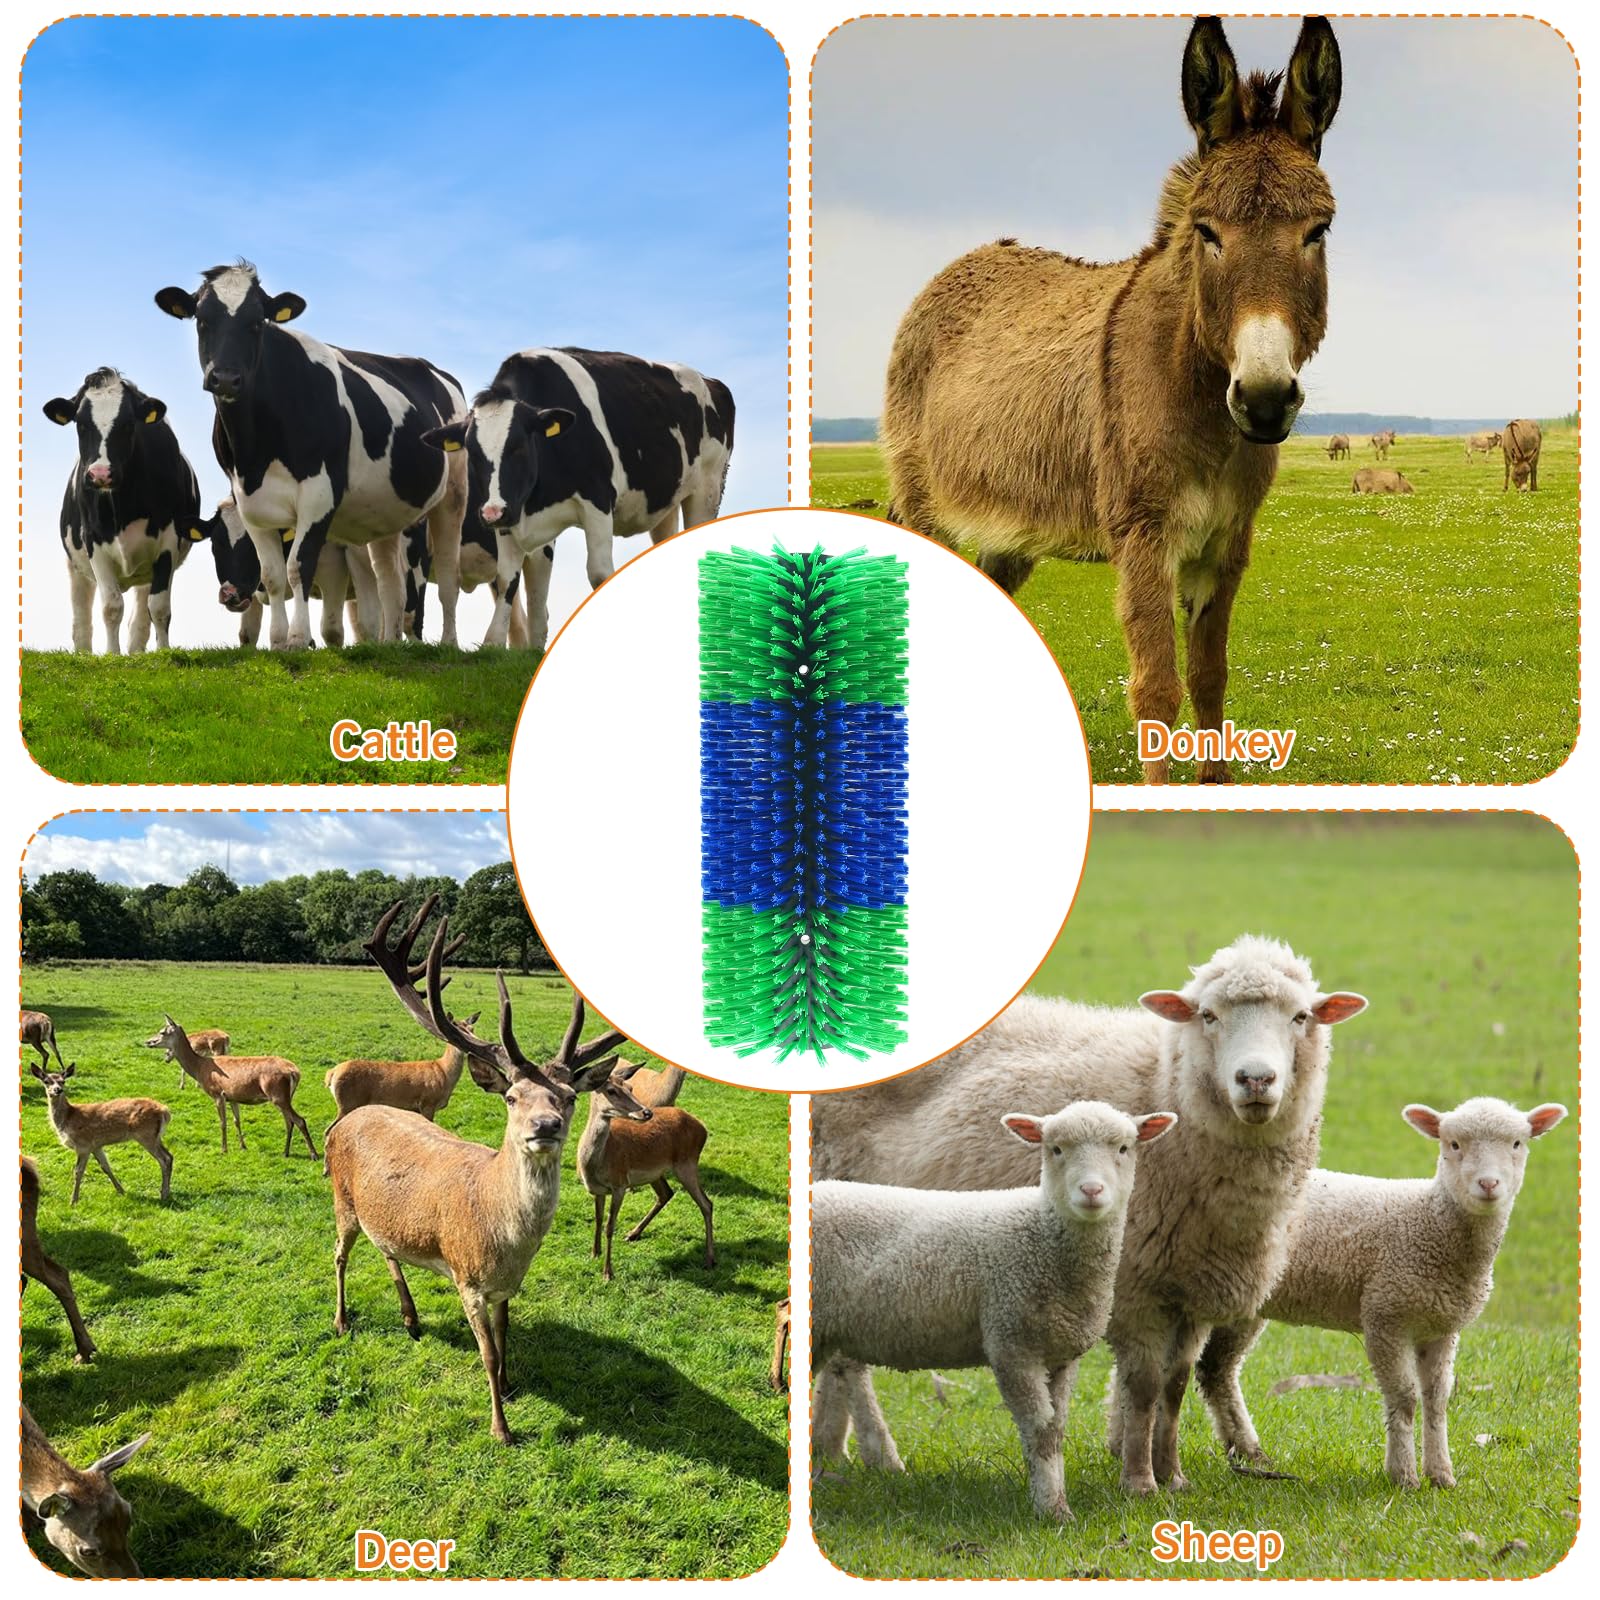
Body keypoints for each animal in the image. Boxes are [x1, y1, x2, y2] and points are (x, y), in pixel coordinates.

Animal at [43, 369, 202, 654]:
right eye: (80, 424)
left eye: (128, 424)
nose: (100, 474)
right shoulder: (93, 541)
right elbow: (111, 606)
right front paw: (112, 655)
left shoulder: (168, 541)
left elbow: (159, 608)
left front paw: (164, 652)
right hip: (76, 566)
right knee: (81, 618)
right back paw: (83, 653)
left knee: (141, 616)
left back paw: (137, 652)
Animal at [153, 262, 467, 650]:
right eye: (202, 319)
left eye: (257, 322)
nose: (225, 378)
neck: (257, 450)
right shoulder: (248, 501)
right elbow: (273, 575)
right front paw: (277, 641)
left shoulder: (320, 494)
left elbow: (298, 566)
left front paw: (298, 639)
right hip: (387, 511)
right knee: (389, 579)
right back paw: (389, 643)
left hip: (453, 495)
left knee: (448, 574)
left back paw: (449, 642)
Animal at [422, 347, 734, 649]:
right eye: (472, 453)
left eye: (519, 447)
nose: (491, 513)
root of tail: (710, 381)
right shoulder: (511, 513)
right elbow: (511, 579)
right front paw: (501, 644)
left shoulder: (597, 500)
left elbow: (599, 573)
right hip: (665, 503)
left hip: (707, 488)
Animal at [812, 1101, 1178, 1521]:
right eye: (1055, 1149)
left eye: (1123, 1148)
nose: (1091, 1191)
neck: (1042, 1234)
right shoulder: (1011, 1342)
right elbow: (1040, 1430)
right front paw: (1052, 1510)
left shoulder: (1061, 1354)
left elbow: (1056, 1430)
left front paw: (1054, 1499)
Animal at [1195, 1096, 1568, 1489]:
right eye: (1453, 1144)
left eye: (1517, 1144)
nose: (1488, 1183)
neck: (1429, 1222)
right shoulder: (1385, 1315)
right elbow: (1404, 1398)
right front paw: (1403, 1476)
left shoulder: (1441, 1327)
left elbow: (1437, 1399)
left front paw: (1441, 1475)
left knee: (1217, 1371)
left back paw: (1248, 1451)